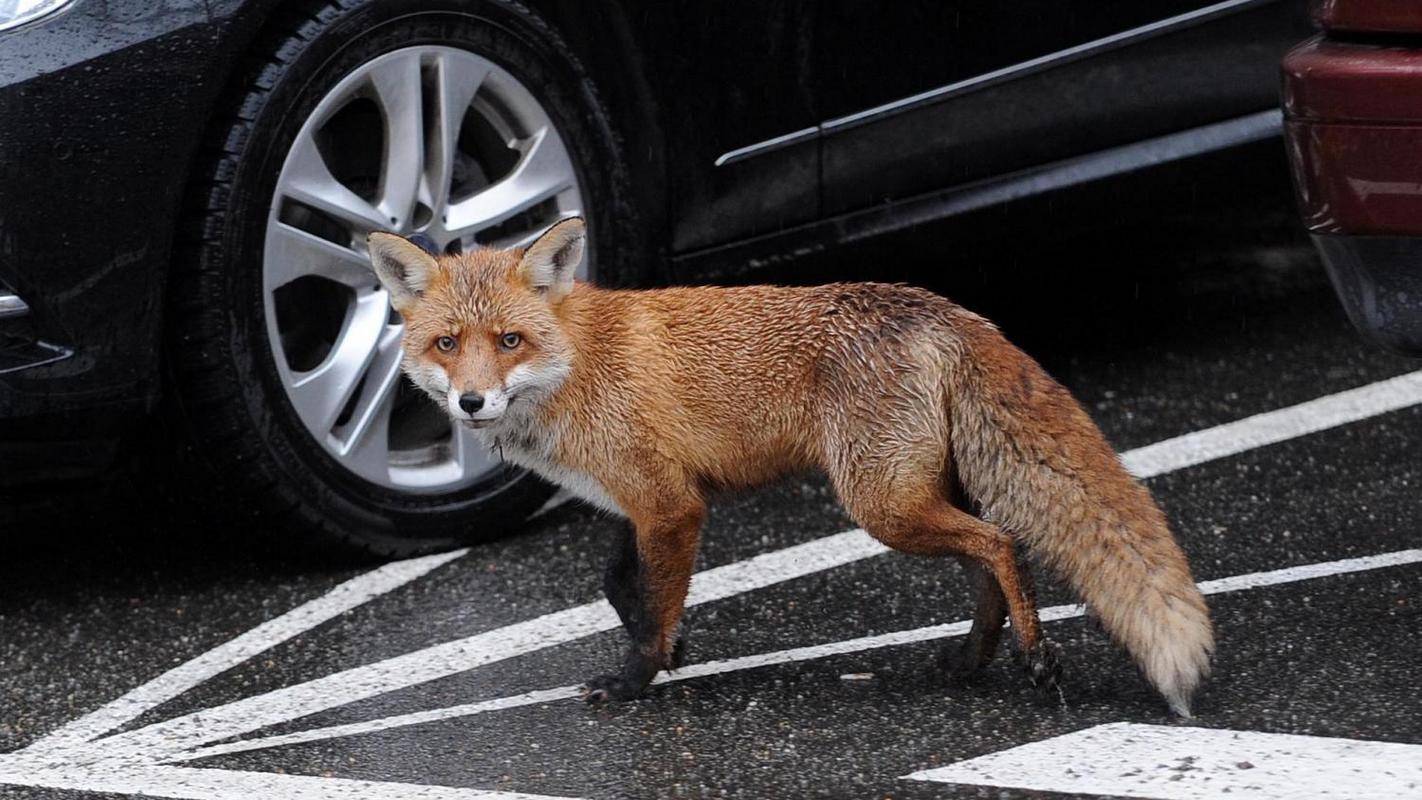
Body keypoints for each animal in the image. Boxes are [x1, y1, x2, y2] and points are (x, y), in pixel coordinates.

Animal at [366, 215, 1211, 716]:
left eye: (509, 341)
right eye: (448, 344)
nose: (472, 402)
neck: (576, 363)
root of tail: (941, 306)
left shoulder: (671, 506)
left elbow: (649, 606)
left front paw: (637, 677)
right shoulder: (642, 500)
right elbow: (620, 585)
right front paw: (670, 646)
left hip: (883, 505)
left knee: (1004, 544)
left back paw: (1037, 661)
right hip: (919, 494)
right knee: (990, 558)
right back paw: (972, 659)